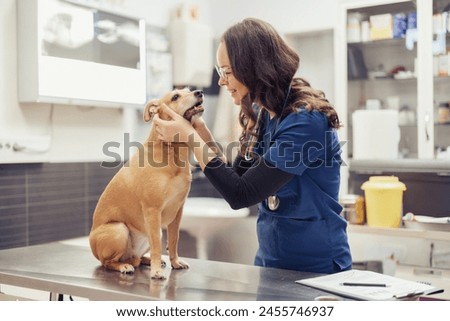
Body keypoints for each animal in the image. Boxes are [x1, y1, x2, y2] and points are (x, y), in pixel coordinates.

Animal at [89, 88, 204, 278]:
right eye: (175, 97)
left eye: (188, 90)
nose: (200, 92)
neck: (170, 152)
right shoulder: (152, 210)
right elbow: (157, 245)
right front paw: (156, 271)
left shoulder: (178, 211)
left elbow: (174, 240)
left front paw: (175, 262)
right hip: (119, 229)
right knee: (108, 262)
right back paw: (124, 266)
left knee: (136, 258)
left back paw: (146, 260)